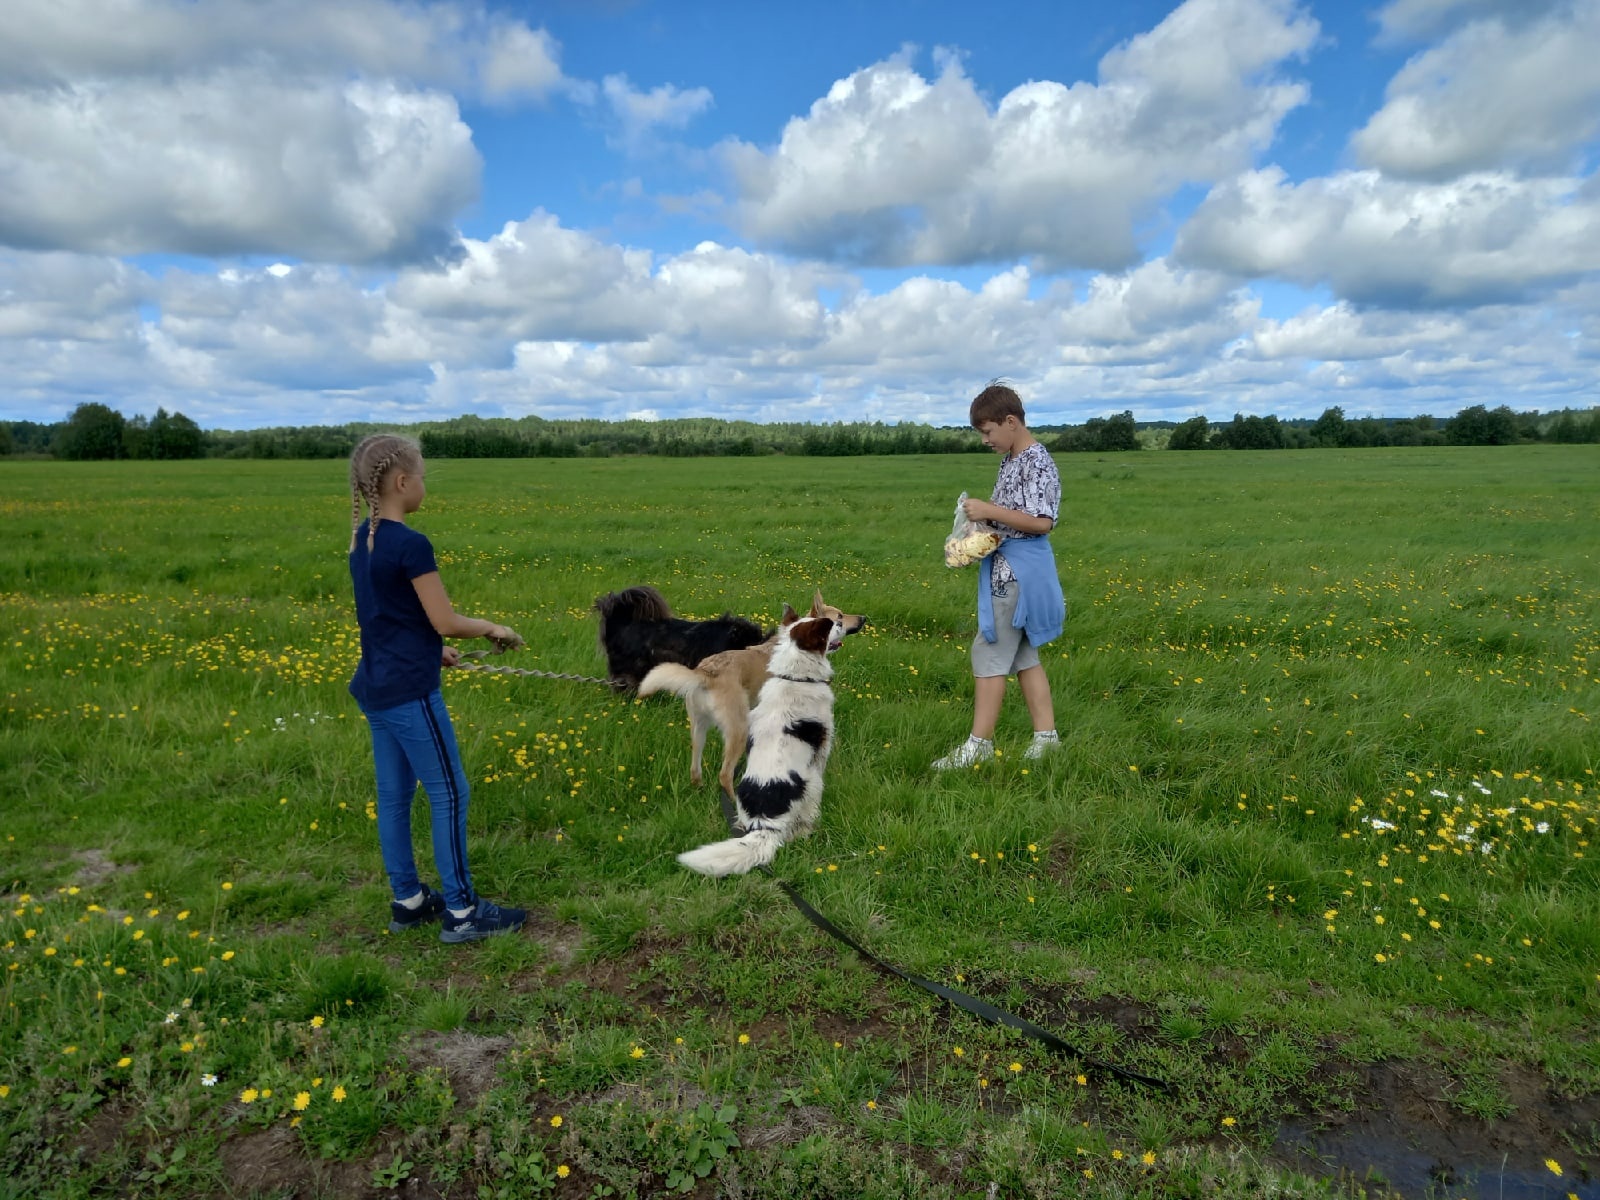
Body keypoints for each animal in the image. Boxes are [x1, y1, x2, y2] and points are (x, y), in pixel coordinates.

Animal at [636, 588, 870, 793]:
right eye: (839, 616)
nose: (864, 618)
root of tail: (706, 672)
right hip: (738, 728)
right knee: (725, 775)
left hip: (698, 727)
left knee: (695, 768)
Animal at [675, 614, 838, 876]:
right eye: (828, 627)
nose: (841, 624)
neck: (795, 677)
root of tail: (764, 824)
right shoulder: (822, 749)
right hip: (812, 784)